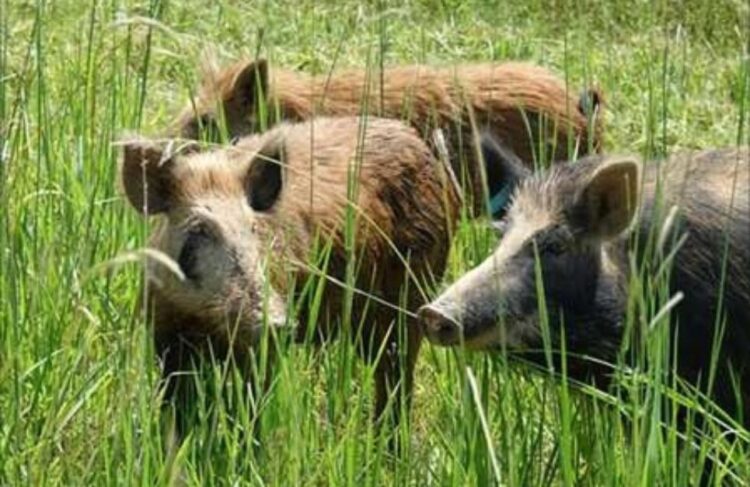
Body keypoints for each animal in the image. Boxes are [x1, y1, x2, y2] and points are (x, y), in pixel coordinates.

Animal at [120, 117, 459, 438]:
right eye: (199, 230)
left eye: (253, 229)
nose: (277, 320)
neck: (205, 322)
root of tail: (416, 140)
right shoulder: (164, 334)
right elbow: (176, 413)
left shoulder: (261, 348)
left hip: (412, 295)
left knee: (395, 376)